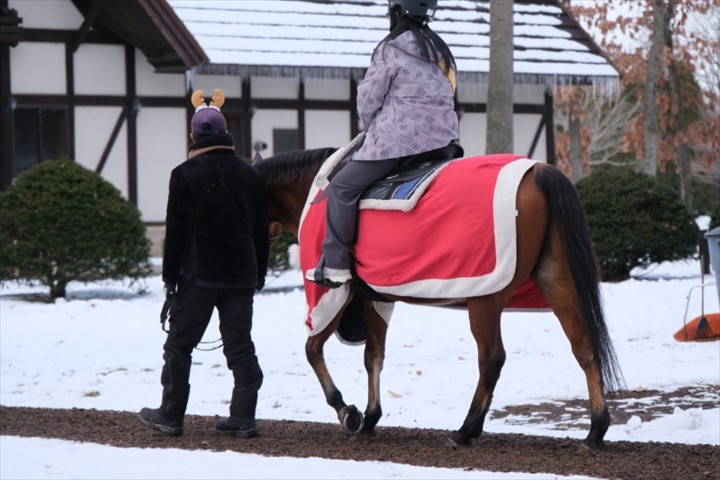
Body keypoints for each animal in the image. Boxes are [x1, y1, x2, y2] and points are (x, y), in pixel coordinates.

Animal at [255, 147, 624, 450]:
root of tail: (538, 170)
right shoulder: (374, 298)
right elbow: (373, 356)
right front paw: (371, 416)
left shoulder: (336, 293)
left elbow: (312, 350)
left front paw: (347, 411)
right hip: (557, 280)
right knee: (584, 347)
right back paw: (596, 430)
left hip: (484, 297)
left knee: (491, 359)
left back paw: (467, 429)